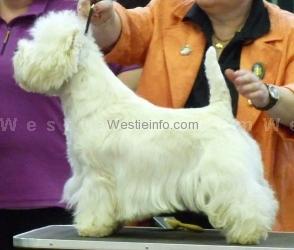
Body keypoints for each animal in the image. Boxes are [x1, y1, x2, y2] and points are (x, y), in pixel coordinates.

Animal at [12, 11, 276, 244]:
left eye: (37, 41)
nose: (17, 52)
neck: (92, 97)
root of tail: (221, 111)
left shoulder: (97, 174)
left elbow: (95, 202)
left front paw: (92, 227)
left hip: (226, 173)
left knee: (247, 200)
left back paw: (248, 234)